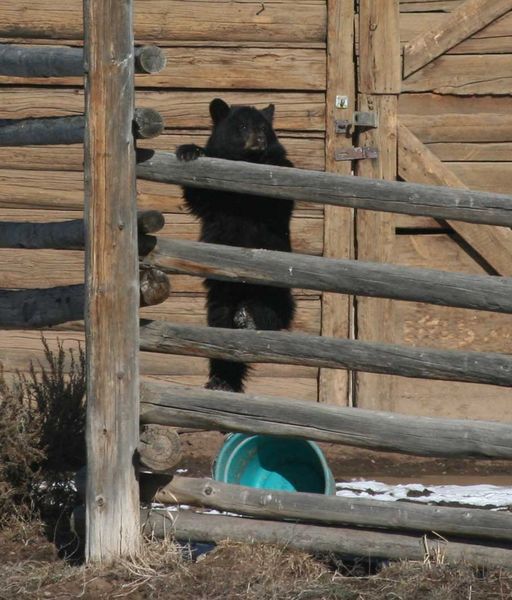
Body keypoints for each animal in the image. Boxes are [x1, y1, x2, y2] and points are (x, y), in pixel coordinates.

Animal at [177, 98, 294, 394]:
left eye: (263, 127)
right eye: (241, 126)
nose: (260, 139)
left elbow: (277, 199)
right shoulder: (216, 204)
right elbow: (199, 195)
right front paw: (189, 151)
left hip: (274, 288)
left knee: (270, 312)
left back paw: (250, 319)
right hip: (220, 298)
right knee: (221, 333)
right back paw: (222, 380)